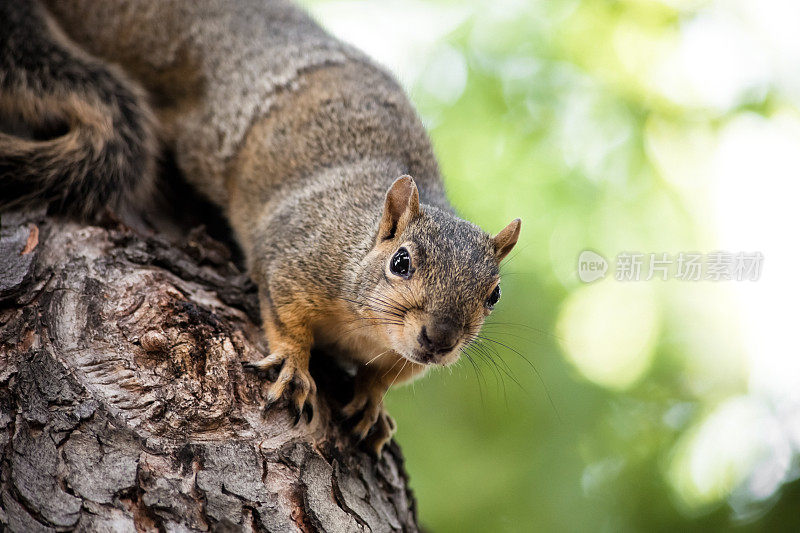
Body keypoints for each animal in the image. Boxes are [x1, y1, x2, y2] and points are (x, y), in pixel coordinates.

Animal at [0, 0, 520, 454]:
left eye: (493, 295)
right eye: (401, 262)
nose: (440, 339)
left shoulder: (398, 354)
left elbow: (387, 376)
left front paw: (374, 402)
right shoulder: (298, 256)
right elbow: (286, 314)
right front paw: (294, 363)